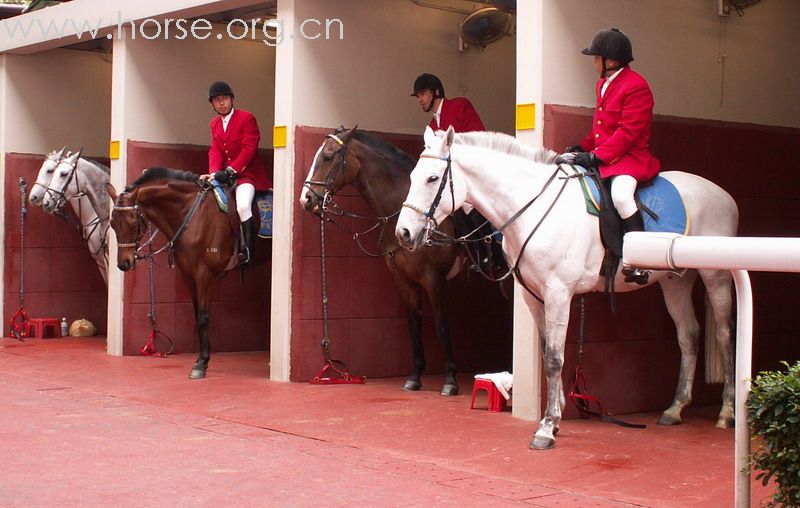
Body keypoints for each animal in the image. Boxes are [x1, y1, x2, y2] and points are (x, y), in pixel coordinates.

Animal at [107, 169, 256, 380]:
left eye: (133, 222)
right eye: (112, 223)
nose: (123, 263)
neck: (192, 216)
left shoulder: (204, 274)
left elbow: (203, 317)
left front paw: (201, 363)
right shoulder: (188, 275)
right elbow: (196, 316)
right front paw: (202, 358)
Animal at [300, 127, 468, 396]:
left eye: (327, 157)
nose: (306, 199)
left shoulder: (435, 279)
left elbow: (441, 326)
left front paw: (451, 379)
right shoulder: (403, 279)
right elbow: (414, 324)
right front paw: (415, 376)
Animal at [396, 126, 736, 448]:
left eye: (432, 178)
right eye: (411, 177)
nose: (404, 233)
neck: (534, 207)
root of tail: (723, 194)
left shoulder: (558, 293)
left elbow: (555, 358)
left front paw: (546, 428)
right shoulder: (533, 296)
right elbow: (548, 350)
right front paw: (556, 414)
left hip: (715, 277)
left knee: (724, 335)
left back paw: (727, 412)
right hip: (674, 281)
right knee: (688, 336)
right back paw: (675, 408)